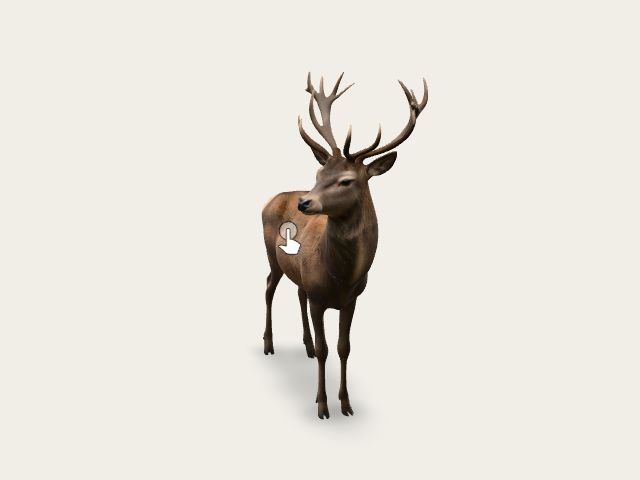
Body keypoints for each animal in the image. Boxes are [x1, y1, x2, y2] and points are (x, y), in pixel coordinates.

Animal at [261, 72, 427, 419]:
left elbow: (343, 348)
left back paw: (305, 346)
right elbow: (326, 349)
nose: (304, 202)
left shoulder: (352, 299)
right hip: (271, 254)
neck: (341, 276)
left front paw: (347, 403)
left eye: (347, 180)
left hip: (297, 272)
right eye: (319, 172)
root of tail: (271, 199)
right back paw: (269, 344)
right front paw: (323, 405)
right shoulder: (319, 298)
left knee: (297, 292)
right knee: (268, 287)